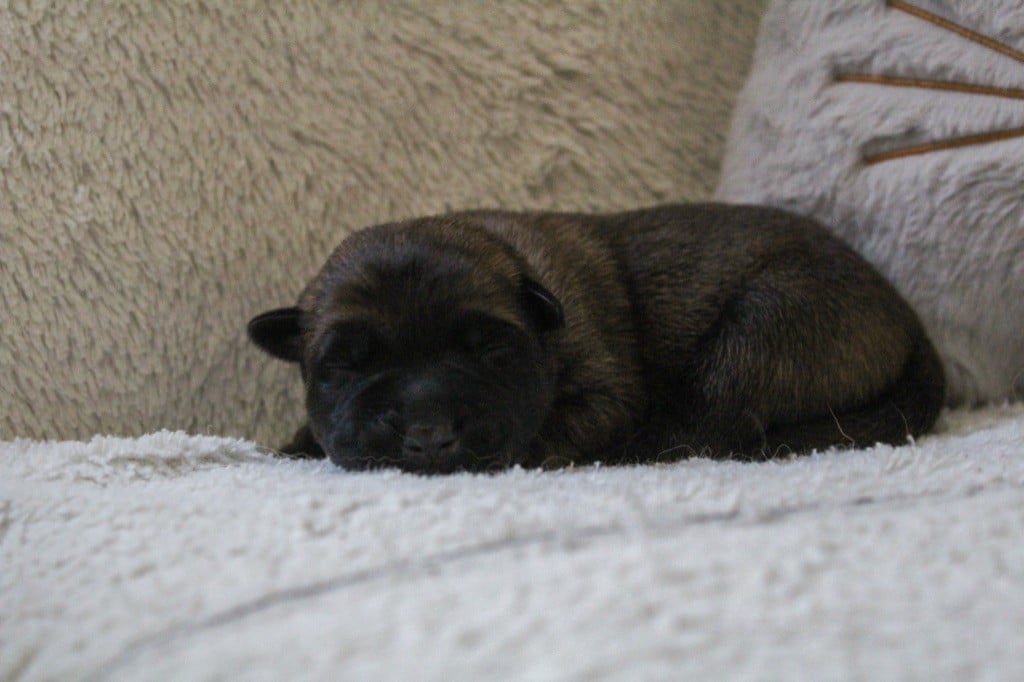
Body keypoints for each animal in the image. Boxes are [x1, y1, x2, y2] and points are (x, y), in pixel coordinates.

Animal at [248, 203, 945, 474]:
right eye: (345, 366)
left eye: (491, 353)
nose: (428, 434)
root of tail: (908, 318)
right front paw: (297, 442)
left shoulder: (606, 390)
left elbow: (561, 426)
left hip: (764, 324)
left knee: (704, 424)